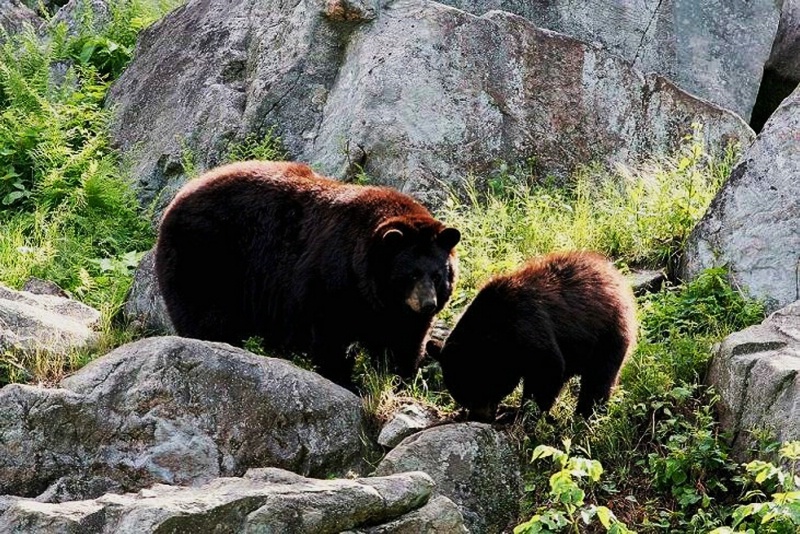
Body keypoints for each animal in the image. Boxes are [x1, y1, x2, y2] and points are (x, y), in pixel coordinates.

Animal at [153, 161, 460, 392]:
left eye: (437, 275)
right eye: (409, 275)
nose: (428, 304)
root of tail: (177, 197)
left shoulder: (394, 311)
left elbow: (403, 341)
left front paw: (400, 379)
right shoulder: (332, 278)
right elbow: (330, 331)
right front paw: (345, 381)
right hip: (204, 256)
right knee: (205, 316)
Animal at [432, 251, 636, 422]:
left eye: (480, 390)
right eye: (462, 396)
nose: (479, 417)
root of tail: (615, 275)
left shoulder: (527, 326)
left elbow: (547, 368)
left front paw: (521, 414)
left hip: (609, 332)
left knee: (599, 376)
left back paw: (585, 414)